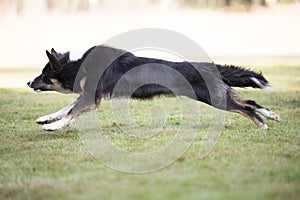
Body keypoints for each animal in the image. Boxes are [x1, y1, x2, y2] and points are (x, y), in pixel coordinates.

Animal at [27, 46, 280, 132]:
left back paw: (263, 123)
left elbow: (71, 111)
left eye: (43, 75)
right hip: (218, 94)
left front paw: (53, 127)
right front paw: (45, 119)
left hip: (214, 98)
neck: (78, 67)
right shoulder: (90, 95)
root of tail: (209, 66)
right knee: (250, 102)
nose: (28, 83)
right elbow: (65, 108)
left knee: (247, 108)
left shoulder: (92, 98)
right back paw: (271, 116)